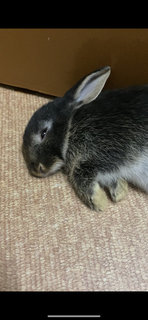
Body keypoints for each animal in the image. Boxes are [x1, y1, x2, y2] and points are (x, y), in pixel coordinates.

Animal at [22, 66, 148, 211]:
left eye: (43, 133)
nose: (37, 170)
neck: (71, 128)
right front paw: (119, 192)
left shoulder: (111, 149)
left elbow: (79, 170)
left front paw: (99, 201)